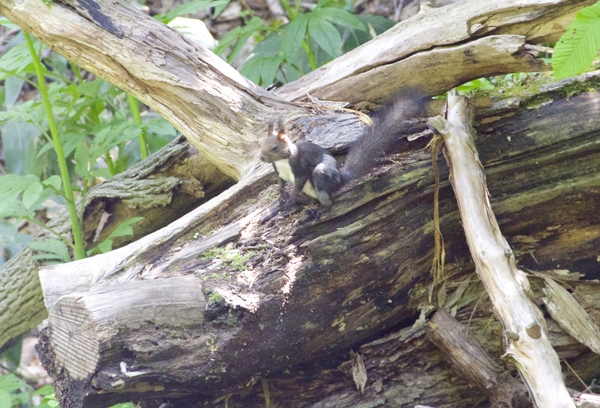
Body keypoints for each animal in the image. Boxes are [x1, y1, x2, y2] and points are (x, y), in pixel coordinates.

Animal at [258, 87, 426, 212]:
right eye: (260, 144)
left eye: (274, 147)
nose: (261, 157)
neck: (282, 161)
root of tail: (340, 180)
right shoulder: (278, 171)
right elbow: (280, 183)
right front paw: (282, 196)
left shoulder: (299, 166)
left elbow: (299, 182)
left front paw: (290, 198)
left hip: (322, 174)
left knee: (328, 201)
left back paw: (317, 210)